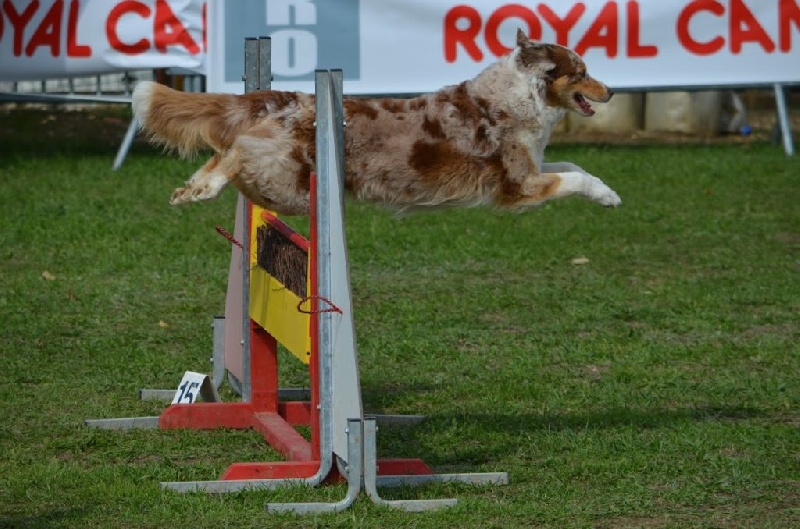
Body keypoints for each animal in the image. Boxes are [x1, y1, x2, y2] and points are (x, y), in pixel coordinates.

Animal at [131, 29, 620, 216]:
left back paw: (193, 189)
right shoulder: (518, 184)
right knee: (234, 154)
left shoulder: (532, 167)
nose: (612, 92)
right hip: (285, 184)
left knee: (226, 157)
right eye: (581, 72)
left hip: (282, 187)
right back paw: (203, 188)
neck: (521, 95)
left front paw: (607, 190)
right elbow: (574, 178)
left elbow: (574, 167)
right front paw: (609, 196)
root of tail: (286, 98)